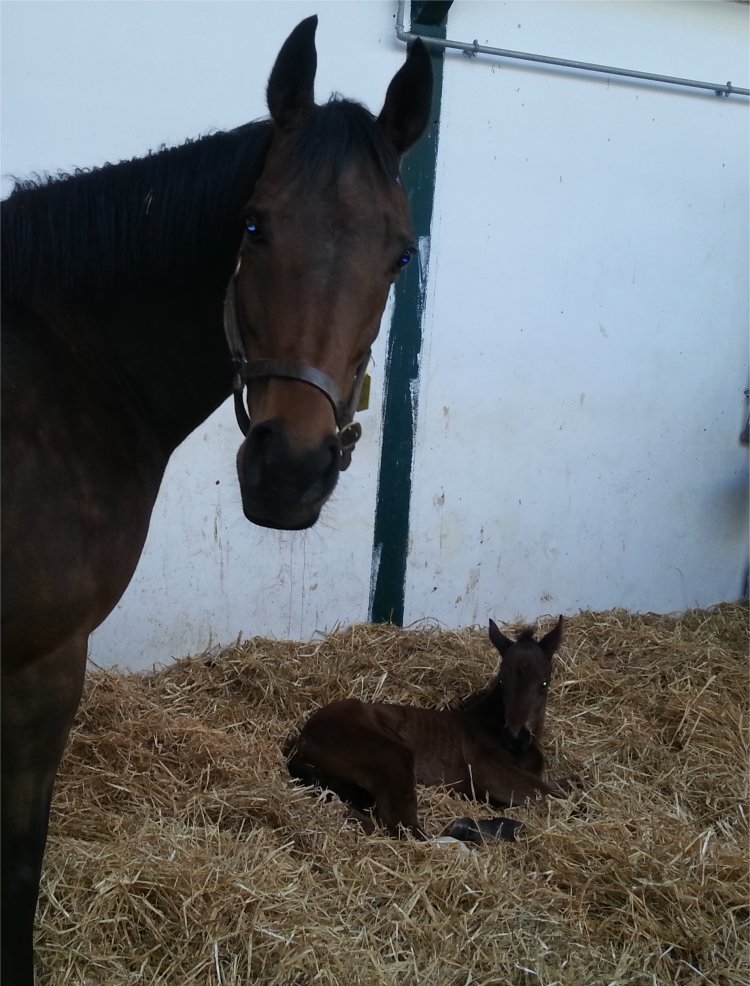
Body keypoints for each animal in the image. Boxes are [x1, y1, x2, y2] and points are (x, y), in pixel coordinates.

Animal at [284, 616, 568, 836]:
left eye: (544, 684)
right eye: (503, 683)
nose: (516, 738)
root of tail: (302, 739)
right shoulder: (489, 770)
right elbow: (558, 795)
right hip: (392, 756)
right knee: (405, 829)